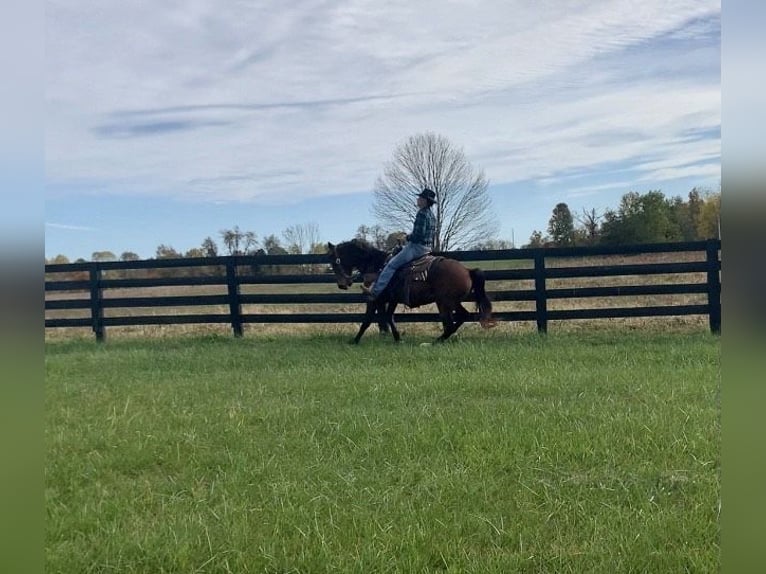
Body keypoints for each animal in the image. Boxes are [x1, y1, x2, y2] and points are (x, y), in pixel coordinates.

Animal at [326, 241, 498, 344]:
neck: (377, 266)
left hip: (447, 301)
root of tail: (467, 270)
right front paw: (397, 338)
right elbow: (389, 317)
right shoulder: (392, 299)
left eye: (334, 261)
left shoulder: (375, 299)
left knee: (458, 318)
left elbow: (367, 320)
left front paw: (354, 341)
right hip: (445, 302)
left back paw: (436, 341)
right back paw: (439, 340)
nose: (342, 284)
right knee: (455, 320)